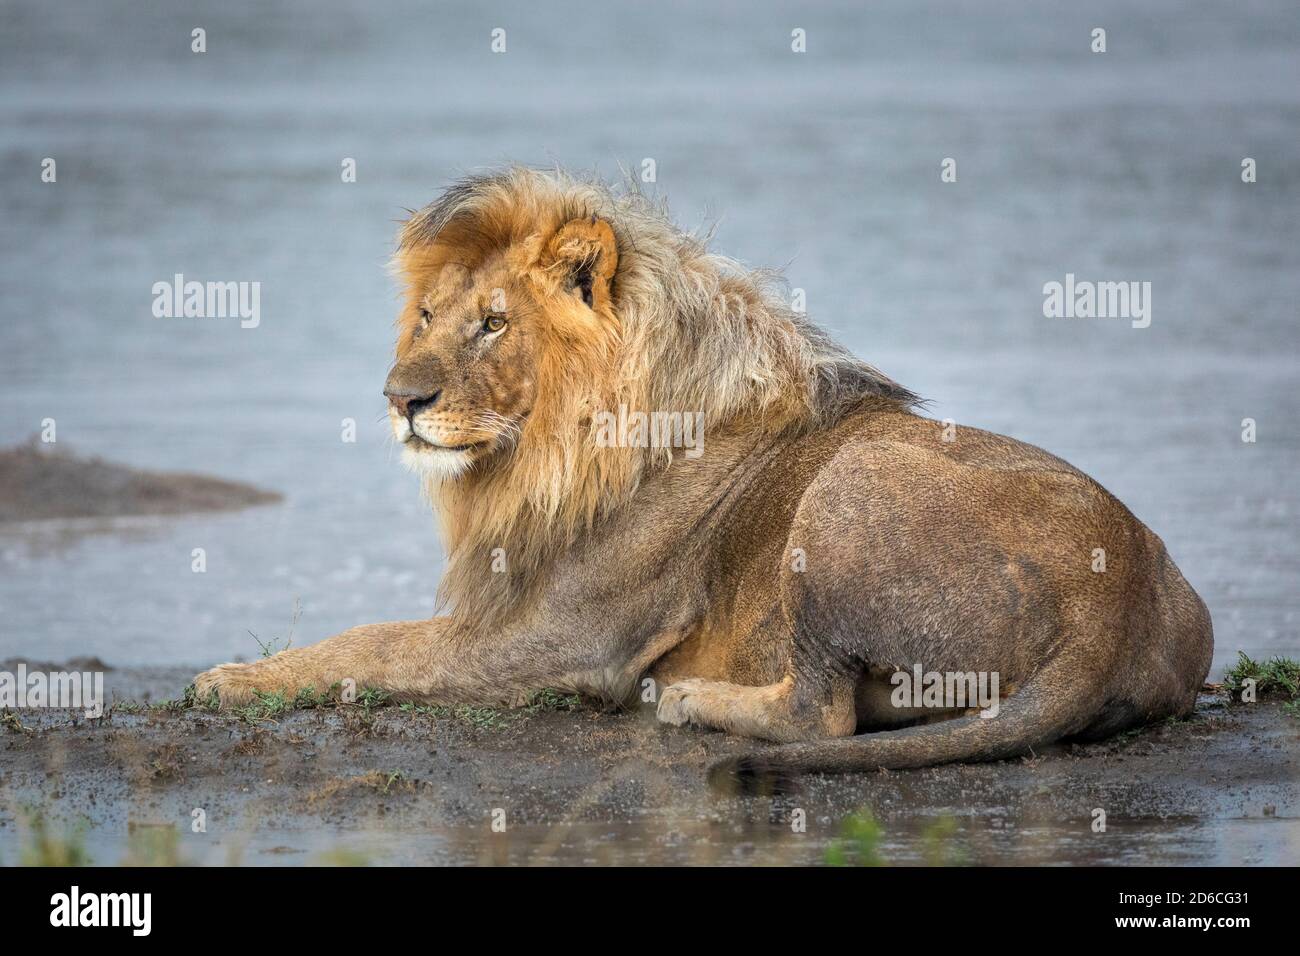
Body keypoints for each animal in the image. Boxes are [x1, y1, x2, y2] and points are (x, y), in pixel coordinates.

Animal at [195, 164, 1216, 780]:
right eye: (425, 317)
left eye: (491, 323)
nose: (398, 397)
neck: (542, 453)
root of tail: (1111, 603)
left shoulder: (557, 643)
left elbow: (370, 644)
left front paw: (227, 679)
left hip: (847, 489)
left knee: (820, 715)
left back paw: (689, 701)